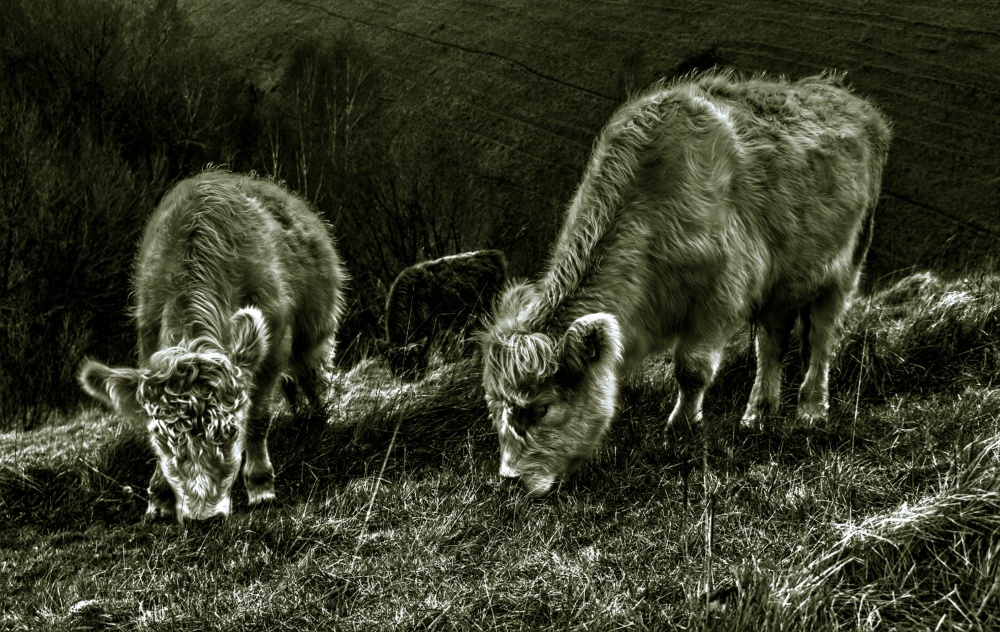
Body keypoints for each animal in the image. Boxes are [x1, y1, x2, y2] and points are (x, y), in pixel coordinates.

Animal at [79, 170, 347, 522]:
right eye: (163, 441)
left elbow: (258, 418)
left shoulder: (274, 345)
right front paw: (159, 497)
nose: (203, 516)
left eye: (230, 433)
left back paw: (321, 421)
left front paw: (261, 486)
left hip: (316, 331)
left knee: (314, 377)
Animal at [377, 250, 506, 379]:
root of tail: (494, 254)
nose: (403, 378)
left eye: (407, 360)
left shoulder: (431, 327)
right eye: (391, 363)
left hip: (492, 301)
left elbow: (425, 350)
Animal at [481, 71, 891, 496]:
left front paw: (679, 431)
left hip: (845, 266)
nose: (510, 481)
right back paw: (758, 415)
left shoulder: (721, 298)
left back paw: (811, 409)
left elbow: (691, 370)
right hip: (780, 283)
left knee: (821, 337)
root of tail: (851, 100)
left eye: (540, 408)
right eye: (493, 410)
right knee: (772, 342)